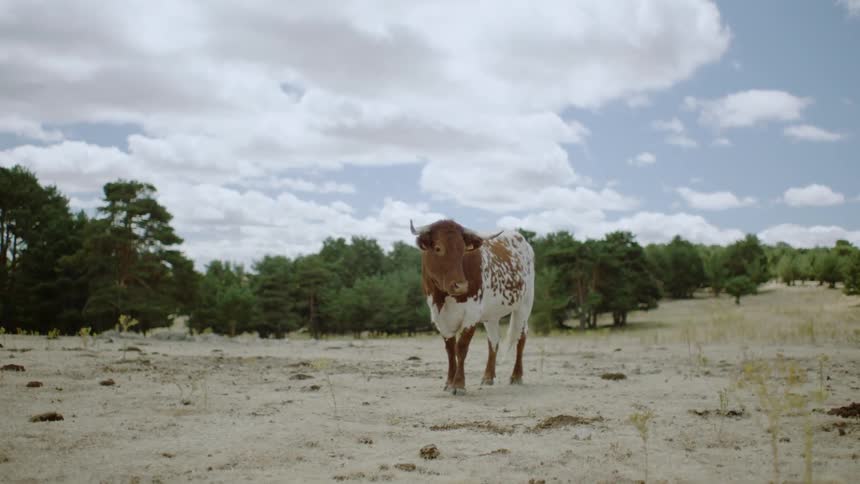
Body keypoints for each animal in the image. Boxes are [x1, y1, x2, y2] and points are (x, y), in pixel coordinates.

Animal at [410, 219, 535, 395]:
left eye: (463, 250)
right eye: (438, 248)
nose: (461, 286)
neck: (443, 298)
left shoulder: (471, 315)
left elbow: (461, 348)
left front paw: (458, 385)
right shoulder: (439, 317)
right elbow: (450, 349)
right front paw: (449, 383)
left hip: (525, 305)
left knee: (521, 337)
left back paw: (516, 376)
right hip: (491, 314)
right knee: (493, 340)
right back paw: (488, 377)